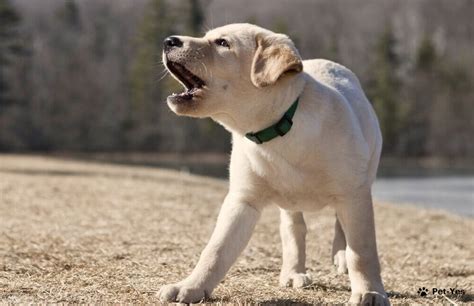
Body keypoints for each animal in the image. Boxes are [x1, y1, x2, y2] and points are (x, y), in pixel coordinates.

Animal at [159, 22, 388, 304]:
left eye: (223, 43)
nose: (169, 41)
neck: (278, 129)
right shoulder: (242, 199)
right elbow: (216, 249)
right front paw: (191, 287)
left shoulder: (353, 194)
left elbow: (362, 251)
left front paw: (369, 291)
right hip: (291, 203)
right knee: (294, 229)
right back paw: (293, 273)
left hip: (364, 175)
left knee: (339, 225)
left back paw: (339, 256)